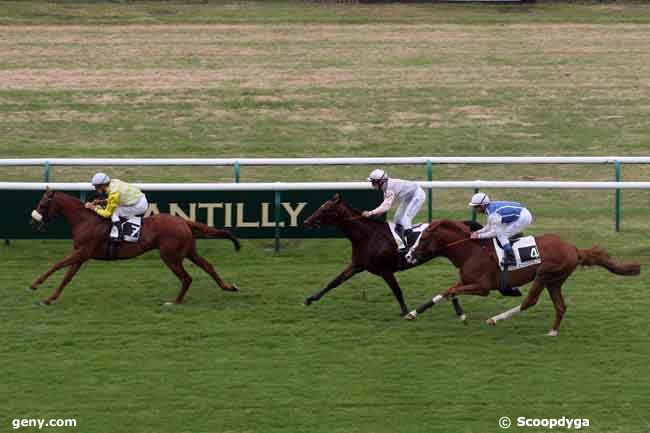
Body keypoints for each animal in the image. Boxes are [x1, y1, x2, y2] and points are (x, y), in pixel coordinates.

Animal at [28, 189, 240, 304]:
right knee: (208, 266)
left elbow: (57, 265)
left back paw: (175, 302)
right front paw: (50, 298)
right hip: (188, 251)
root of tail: (184, 221)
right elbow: (67, 277)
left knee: (186, 278)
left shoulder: (83, 251)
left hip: (170, 256)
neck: (84, 220)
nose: (32, 221)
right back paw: (229, 287)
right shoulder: (81, 255)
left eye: (43, 204)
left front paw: (35, 284)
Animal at [300, 194, 470, 316]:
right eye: (321, 206)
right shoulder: (357, 265)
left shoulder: (386, 271)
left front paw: (405, 311)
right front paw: (310, 299)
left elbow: (397, 291)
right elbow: (334, 282)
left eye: (325, 209)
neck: (368, 236)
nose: (307, 221)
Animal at [402, 219, 640, 334]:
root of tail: (574, 248)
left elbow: (451, 291)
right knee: (560, 306)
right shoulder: (467, 281)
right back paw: (552, 332)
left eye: (423, 239)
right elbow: (445, 291)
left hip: (545, 274)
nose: (409, 255)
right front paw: (413, 313)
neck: (471, 250)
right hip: (555, 281)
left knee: (530, 301)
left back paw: (495, 319)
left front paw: (461, 315)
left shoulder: (482, 287)